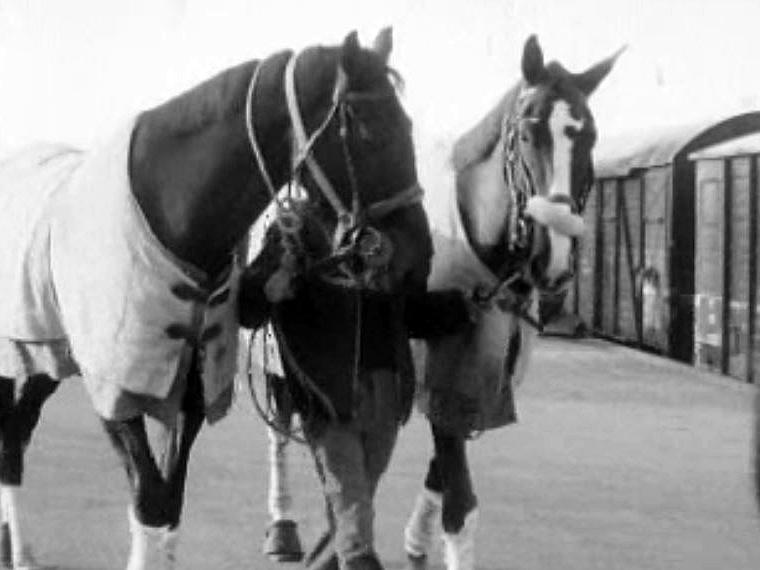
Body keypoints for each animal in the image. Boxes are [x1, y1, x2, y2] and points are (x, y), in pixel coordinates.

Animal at [0, 28, 424, 564]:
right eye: (369, 128)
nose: (415, 250)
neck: (173, 216)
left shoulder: (194, 386)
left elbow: (171, 501)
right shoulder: (115, 387)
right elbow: (150, 500)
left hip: (46, 358)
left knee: (15, 434)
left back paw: (17, 548)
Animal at [404, 36, 624, 568]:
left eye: (590, 137)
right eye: (527, 135)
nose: (555, 258)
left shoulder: (477, 386)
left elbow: (442, 476)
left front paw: (417, 538)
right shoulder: (443, 376)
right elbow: (460, 505)